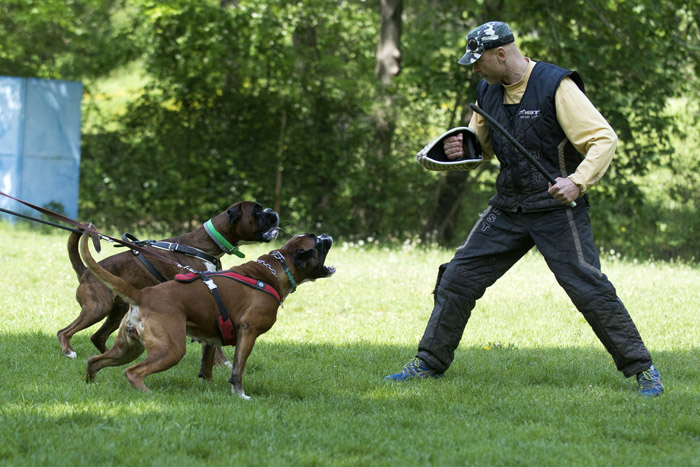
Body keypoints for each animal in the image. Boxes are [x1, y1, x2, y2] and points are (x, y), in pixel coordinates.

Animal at [56, 200, 278, 358]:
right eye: (257, 211)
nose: (273, 212)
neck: (205, 244)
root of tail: (85, 271)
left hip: (116, 311)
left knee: (98, 337)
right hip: (97, 308)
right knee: (64, 332)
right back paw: (69, 351)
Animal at [80, 230, 334, 398]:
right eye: (318, 242)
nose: (326, 234)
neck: (274, 270)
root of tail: (143, 295)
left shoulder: (210, 339)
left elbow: (207, 367)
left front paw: (209, 389)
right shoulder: (248, 332)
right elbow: (238, 369)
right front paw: (240, 394)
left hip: (128, 348)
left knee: (94, 361)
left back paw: (91, 385)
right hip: (170, 350)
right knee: (133, 372)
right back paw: (148, 394)